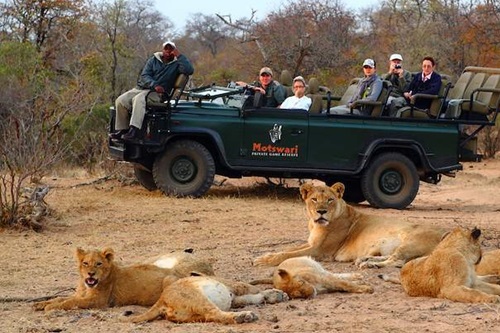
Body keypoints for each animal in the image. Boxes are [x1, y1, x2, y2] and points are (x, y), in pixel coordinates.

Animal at [32, 245, 213, 310]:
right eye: (85, 263)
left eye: (98, 264)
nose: (91, 273)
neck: (87, 285)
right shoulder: (80, 294)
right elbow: (60, 298)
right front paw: (41, 304)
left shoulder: (98, 302)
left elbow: (70, 302)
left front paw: (51, 307)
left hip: (169, 280)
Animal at [127, 274, 288, 322]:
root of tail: (161, 300)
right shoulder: (235, 285)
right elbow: (253, 289)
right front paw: (277, 293)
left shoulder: (233, 297)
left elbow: (252, 297)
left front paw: (276, 296)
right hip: (197, 297)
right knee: (214, 314)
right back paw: (244, 316)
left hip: (193, 315)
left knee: (210, 316)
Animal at [254, 182, 446, 268]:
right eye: (314, 199)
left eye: (330, 200)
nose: (321, 212)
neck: (315, 225)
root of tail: (446, 233)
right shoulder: (311, 243)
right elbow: (288, 249)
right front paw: (266, 254)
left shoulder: (320, 250)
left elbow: (287, 255)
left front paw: (264, 259)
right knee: (396, 258)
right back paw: (366, 259)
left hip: (411, 241)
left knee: (398, 261)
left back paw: (370, 265)